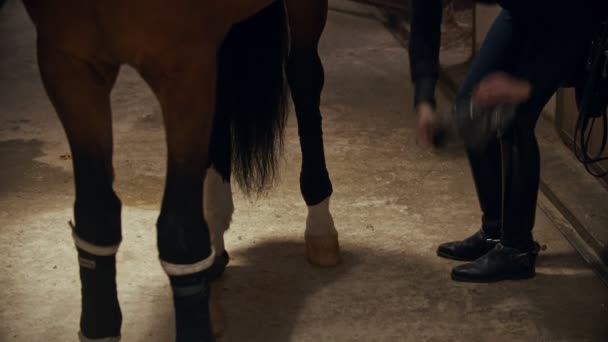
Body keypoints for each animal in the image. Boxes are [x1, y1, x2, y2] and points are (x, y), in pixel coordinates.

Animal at [21, 0, 338, 340]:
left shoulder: (183, 68)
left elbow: (180, 236)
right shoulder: (69, 64)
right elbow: (96, 218)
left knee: (304, 77)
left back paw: (320, 226)